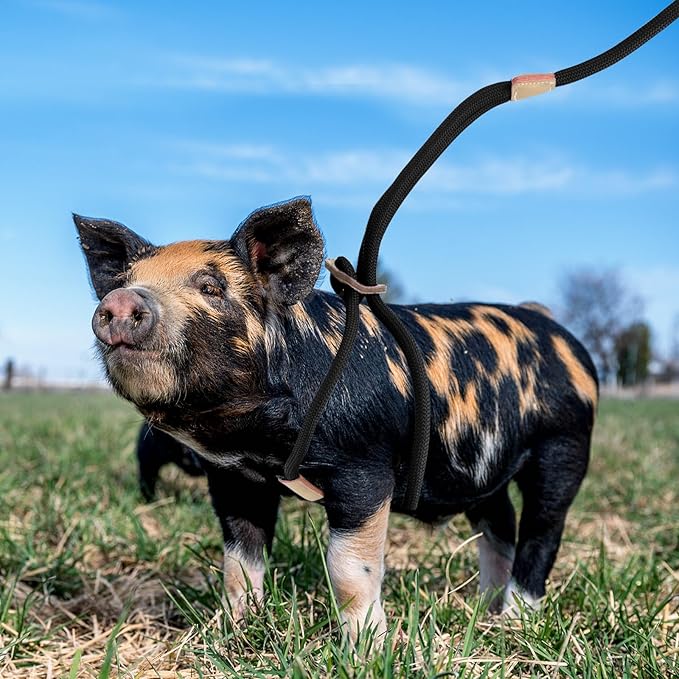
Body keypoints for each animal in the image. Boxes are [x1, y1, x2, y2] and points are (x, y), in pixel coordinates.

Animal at [75, 197, 597, 639]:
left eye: (211, 287)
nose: (122, 301)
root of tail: (557, 330)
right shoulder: (235, 478)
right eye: (124, 281)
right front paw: (236, 631)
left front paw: (366, 650)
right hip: (483, 469)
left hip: (565, 446)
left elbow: (348, 570)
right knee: (499, 524)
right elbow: (238, 562)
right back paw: (484, 611)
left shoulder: (364, 468)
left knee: (541, 533)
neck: (261, 442)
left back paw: (514, 621)